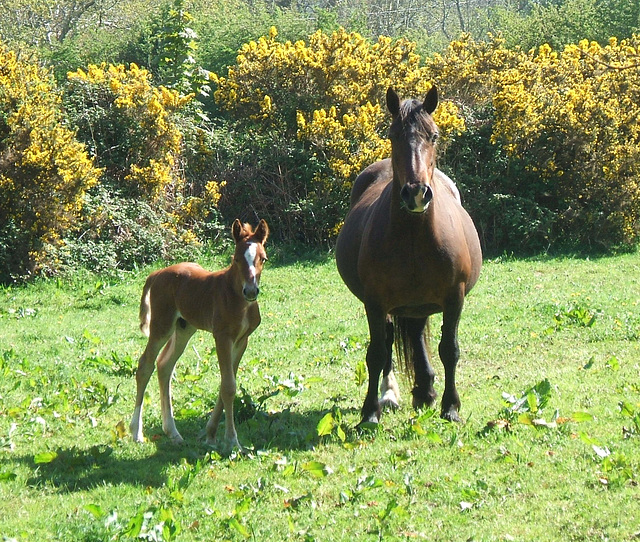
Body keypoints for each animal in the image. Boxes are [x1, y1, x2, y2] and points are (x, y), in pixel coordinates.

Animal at [336, 85, 480, 428]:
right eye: (393, 135)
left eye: (434, 136)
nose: (416, 193)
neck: (415, 237)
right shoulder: (375, 302)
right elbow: (376, 353)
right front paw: (369, 412)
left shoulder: (454, 298)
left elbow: (449, 349)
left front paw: (450, 407)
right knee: (390, 341)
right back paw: (392, 393)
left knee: (415, 333)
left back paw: (425, 390)